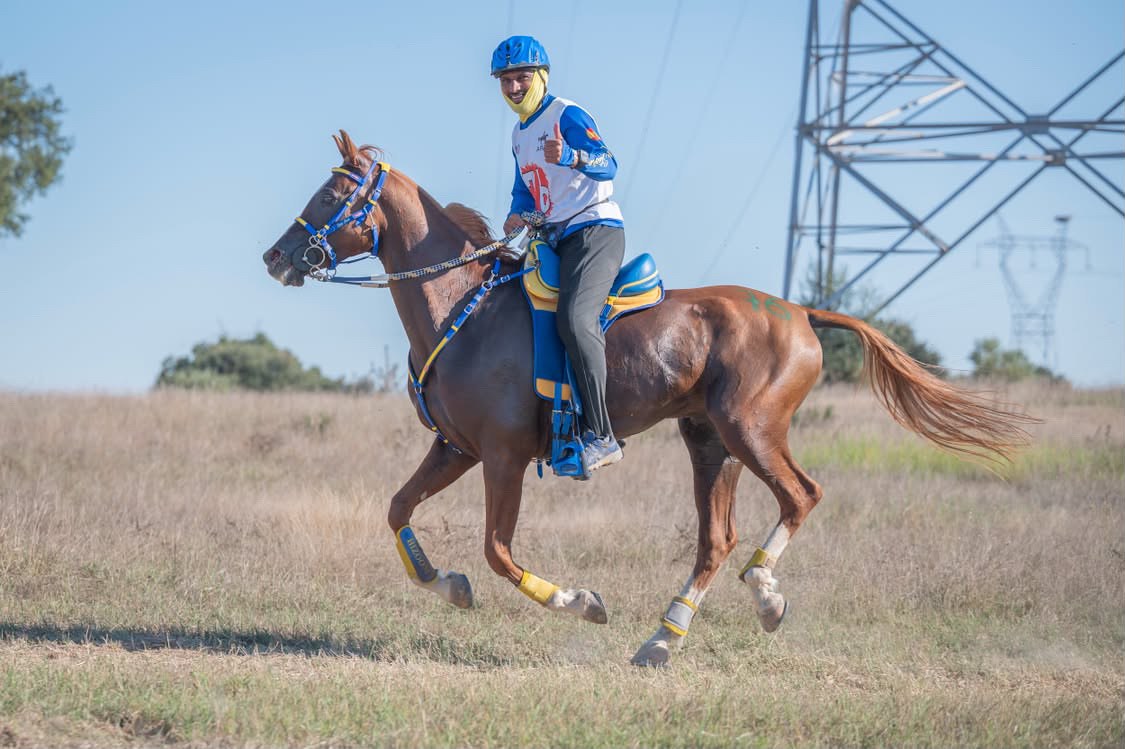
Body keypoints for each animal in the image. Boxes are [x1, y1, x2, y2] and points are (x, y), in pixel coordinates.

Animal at [262, 130, 1034, 667]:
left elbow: (498, 551)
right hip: (708, 442)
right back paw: (663, 638)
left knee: (800, 496)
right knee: (715, 540)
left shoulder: (503, 457)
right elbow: (398, 511)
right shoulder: (455, 448)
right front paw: (446, 584)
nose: (275, 258)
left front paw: (582, 602)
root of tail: (799, 312)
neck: (463, 307)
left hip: (750, 429)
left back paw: (765, 594)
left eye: (331, 195)